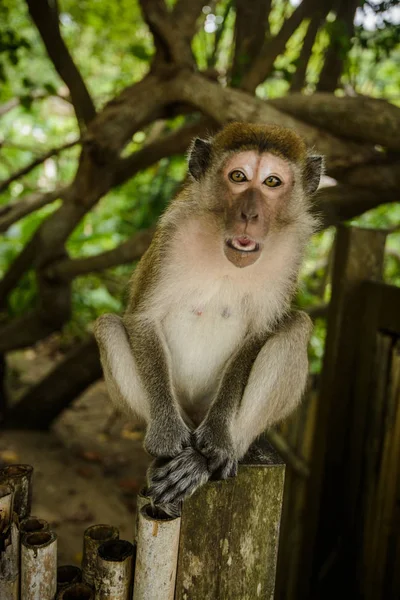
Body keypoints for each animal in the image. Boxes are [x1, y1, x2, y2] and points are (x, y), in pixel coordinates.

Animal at [94, 123, 322, 516]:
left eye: (272, 182)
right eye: (238, 177)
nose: (250, 214)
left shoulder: (291, 252)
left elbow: (261, 334)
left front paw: (216, 442)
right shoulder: (172, 233)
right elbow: (143, 319)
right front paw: (166, 437)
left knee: (297, 327)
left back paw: (209, 460)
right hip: (183, 413)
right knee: (108, 326)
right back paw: (166, 458)